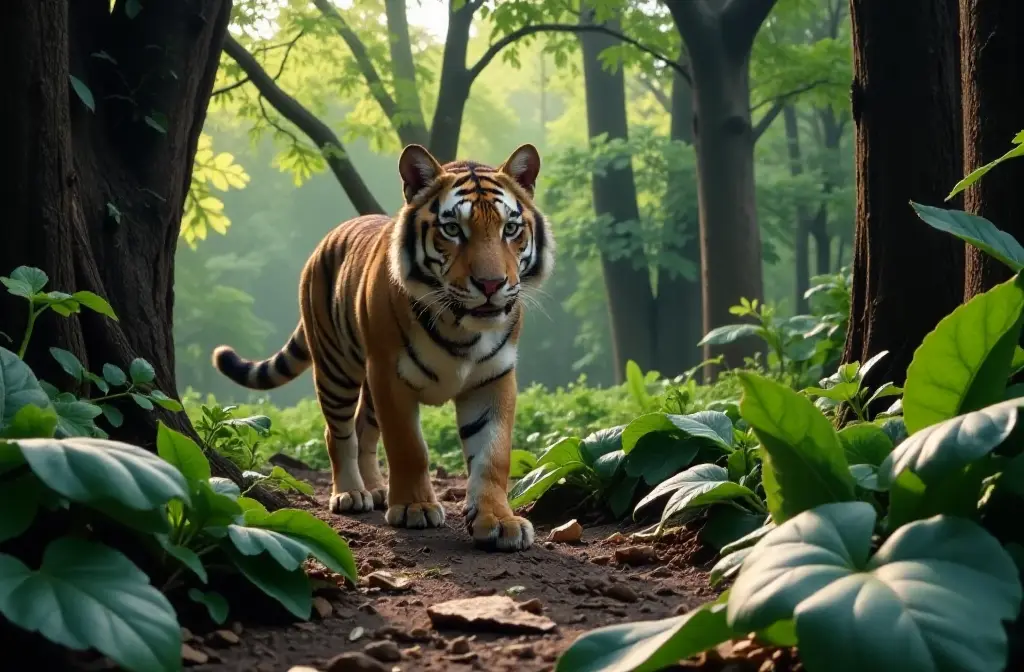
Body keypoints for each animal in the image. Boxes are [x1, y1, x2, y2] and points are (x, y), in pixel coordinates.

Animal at [211, 143, 554, 551]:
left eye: (510, 229)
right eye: (453, 229)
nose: (491, 284)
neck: (461, 328)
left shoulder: (493, 378)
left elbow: (493, 455)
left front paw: (499, 522)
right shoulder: (390, 374)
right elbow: (408, 446)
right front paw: (415, 508)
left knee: (364, 428)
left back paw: (374, 489)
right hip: (337, 368)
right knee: (338, 432)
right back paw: (350, 494)